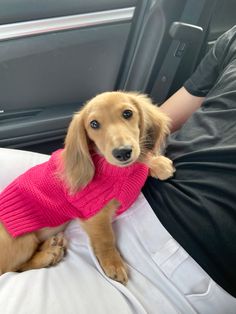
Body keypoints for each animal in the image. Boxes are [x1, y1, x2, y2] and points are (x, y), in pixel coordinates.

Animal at [0, 91, 174, 284]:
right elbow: (106, 239)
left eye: (128, 113)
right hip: (22, 241)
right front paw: (113, 263)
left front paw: (157, 164)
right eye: (94, 124)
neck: (112, 170)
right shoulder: (94, 216)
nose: (123, 153)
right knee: (13, 268)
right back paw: (47, 255)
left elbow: (140, 161)